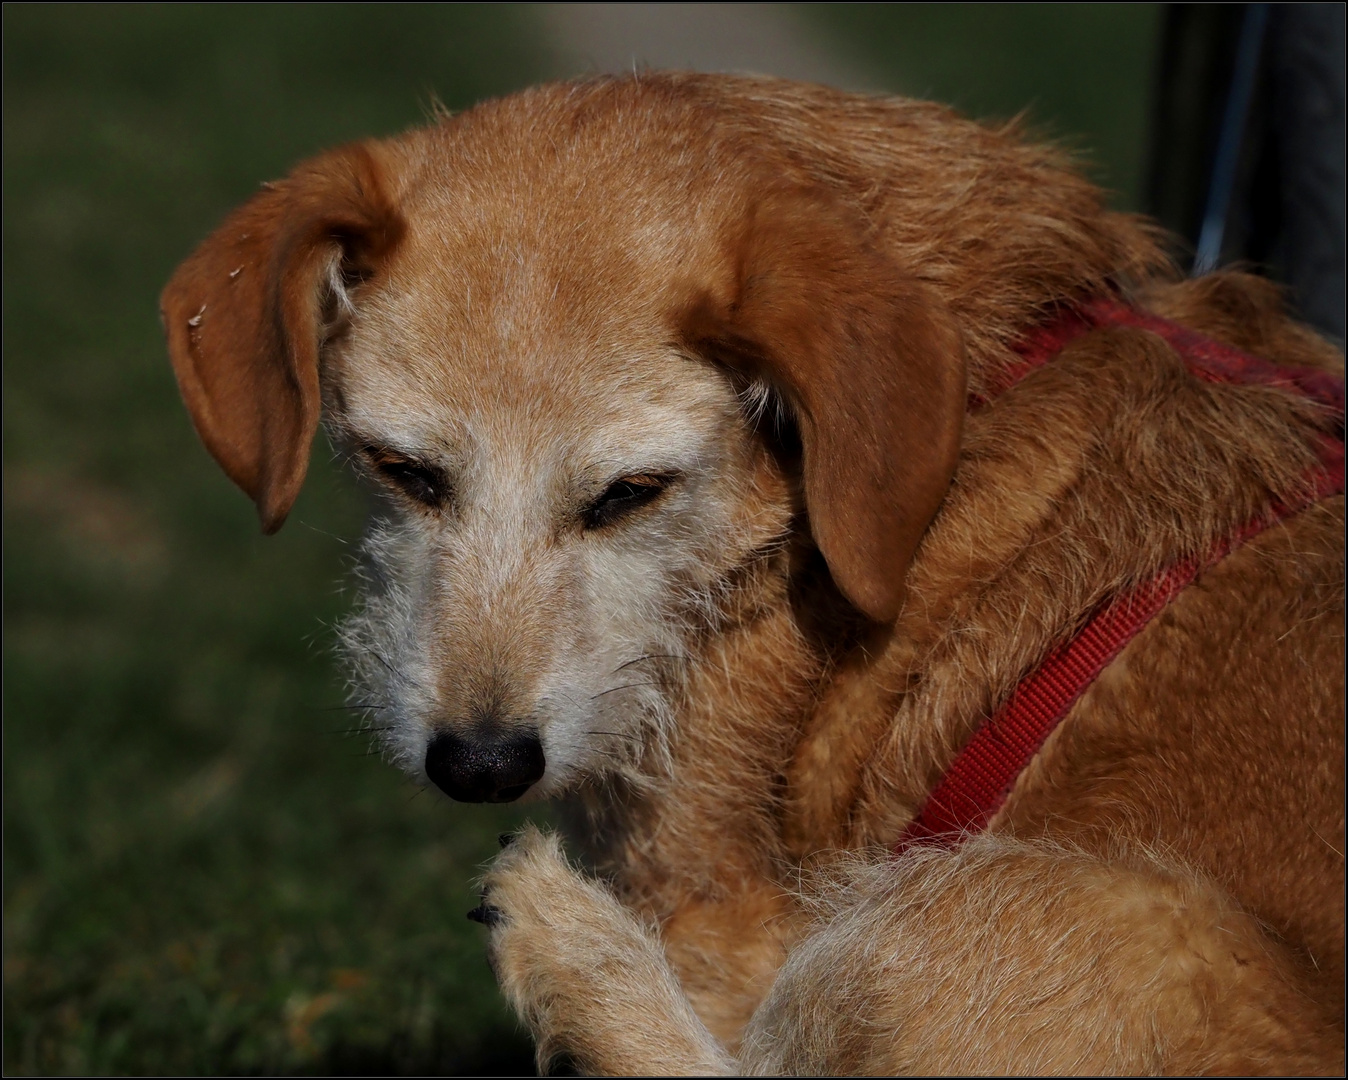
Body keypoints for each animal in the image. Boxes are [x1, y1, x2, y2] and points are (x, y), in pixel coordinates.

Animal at [157, 73, 1337, 1067]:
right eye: (403, 470)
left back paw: (571, 947)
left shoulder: (719, 910)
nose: (481, 764)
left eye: (630, 494)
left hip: (1034, 915)